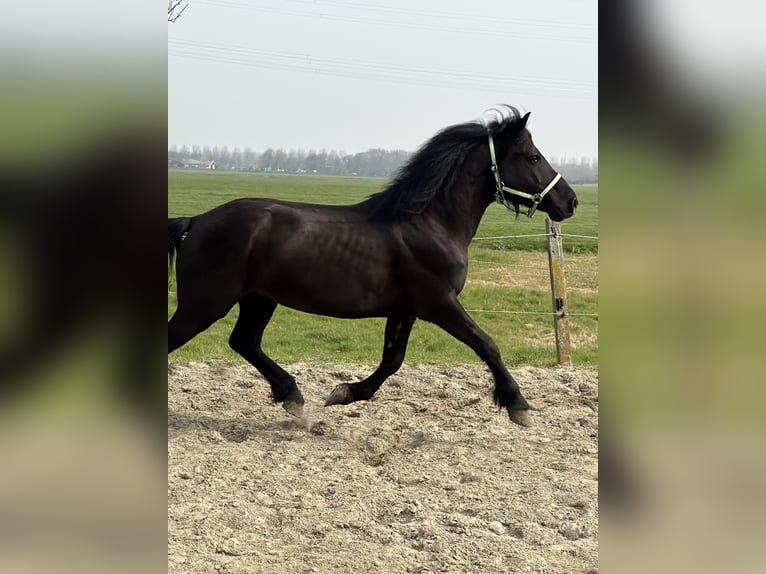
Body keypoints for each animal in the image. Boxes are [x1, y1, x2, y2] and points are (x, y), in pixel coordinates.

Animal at [168, 105, 578, 427]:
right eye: (533, 157)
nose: (570, 201)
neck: (430, 223)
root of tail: (197, 220)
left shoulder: (405, 309)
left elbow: (392, 360)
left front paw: (344, 392)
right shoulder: (439, 303)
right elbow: (487, 344)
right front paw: (518, 405)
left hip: (258, 299)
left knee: (244, 342)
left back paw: (293, 397)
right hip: (206, 303)